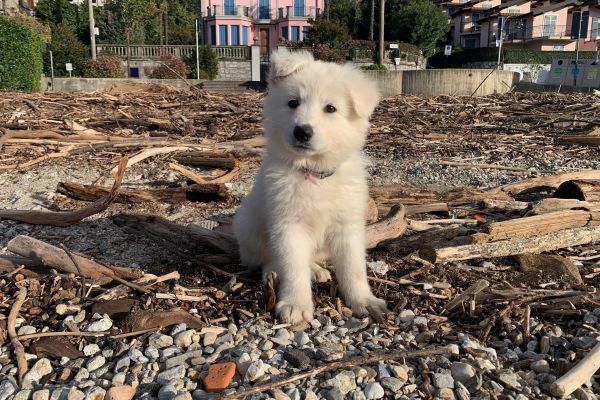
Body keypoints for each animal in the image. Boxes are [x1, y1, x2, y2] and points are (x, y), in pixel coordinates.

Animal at [232, 50, 386, 324]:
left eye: (330, 108)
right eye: (293, 103)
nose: (302, 131)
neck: (314, 173)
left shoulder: (347, 226)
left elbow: (353, 268)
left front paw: (364, 301)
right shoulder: (288, 226)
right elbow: (293, 268)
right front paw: (295, 304)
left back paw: (315, 269)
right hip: (249, 225)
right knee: (264, 258)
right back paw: (272, 273)